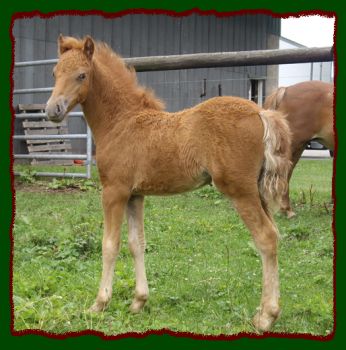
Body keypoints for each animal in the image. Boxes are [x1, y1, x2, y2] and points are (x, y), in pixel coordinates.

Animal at [44, 36, 290, 334]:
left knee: (265, 237)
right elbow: (136, 243)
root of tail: (261, 111)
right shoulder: (135, 195)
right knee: (273, 235)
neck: (121, 122)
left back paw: (266, 317)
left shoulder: (114, 191)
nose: (52, 110)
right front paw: (138, 301)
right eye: (54, 73)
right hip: (257, 191)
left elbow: (109, 244)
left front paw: (99, 303)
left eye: (81, 75)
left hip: (240, 191)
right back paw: (265, 311)